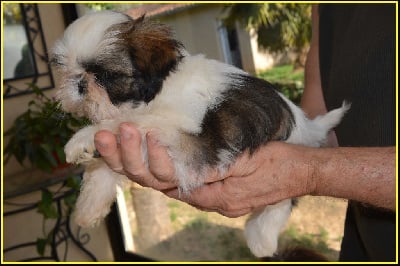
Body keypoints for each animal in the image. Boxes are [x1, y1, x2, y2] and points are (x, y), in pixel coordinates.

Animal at [50, 10, 350, 258]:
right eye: (67, 69)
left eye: (105, 76)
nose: (78, 83)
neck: (159, 88)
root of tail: (308, 125)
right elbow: (104, 169)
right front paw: (88, 208)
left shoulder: (180, 131)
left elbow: (127, 122)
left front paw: (81, 139)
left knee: (284, 202)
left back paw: (261, 238)